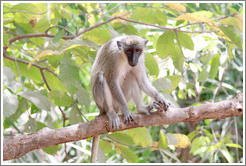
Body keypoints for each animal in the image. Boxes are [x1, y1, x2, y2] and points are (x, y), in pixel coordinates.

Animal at [91, 34, 170, 162]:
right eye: (129, 51)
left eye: (137, 50)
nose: (133, 60)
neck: (122, 56)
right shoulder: (113, 58)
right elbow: (112, 81)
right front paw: (126, 110)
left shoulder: (140, 59)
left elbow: (141, 80)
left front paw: (160, 97)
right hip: (105, 102)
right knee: (101, 77)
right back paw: (111, 112)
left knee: (132, 76)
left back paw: (141, 108)